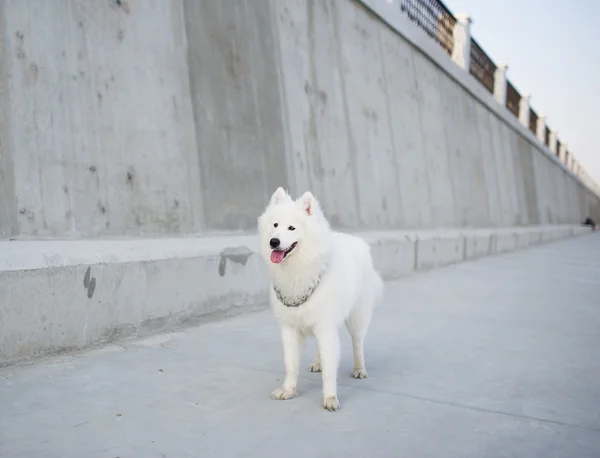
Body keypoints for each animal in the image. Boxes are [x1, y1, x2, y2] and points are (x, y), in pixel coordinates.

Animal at [258, 187, 384, 412]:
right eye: (275, 225)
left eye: (292, 228)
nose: (274, 242)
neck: (300, 270)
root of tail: (357, 241)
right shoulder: (290, 329)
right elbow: (291, 365)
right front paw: (288, 390)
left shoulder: (326, 327)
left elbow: (330, 370)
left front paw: (330, 397)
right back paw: (317, 363)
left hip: (356, 318)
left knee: (358, 343)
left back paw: (359, 368)